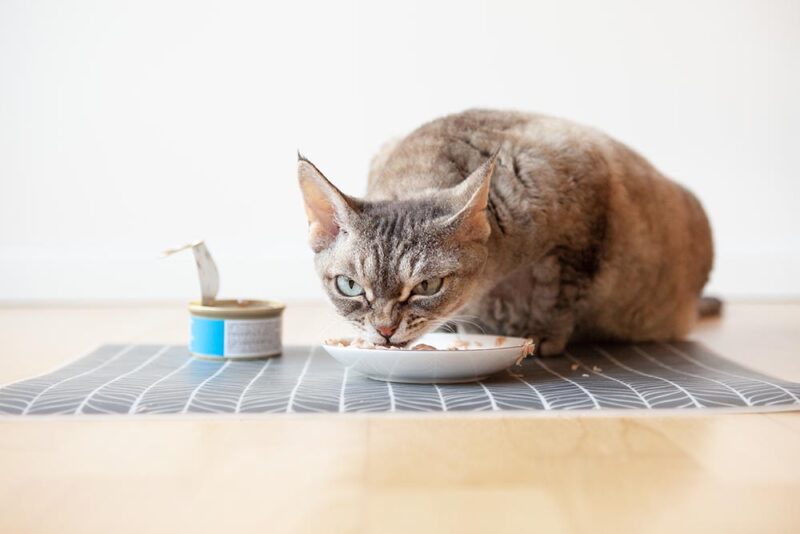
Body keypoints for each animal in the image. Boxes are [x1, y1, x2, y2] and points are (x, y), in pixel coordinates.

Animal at [298, 109, 712, 356]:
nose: (384, 330)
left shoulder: (584, 228)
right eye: (349, 286)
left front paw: (543, 335)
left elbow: (562, 296)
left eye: (427, 287)